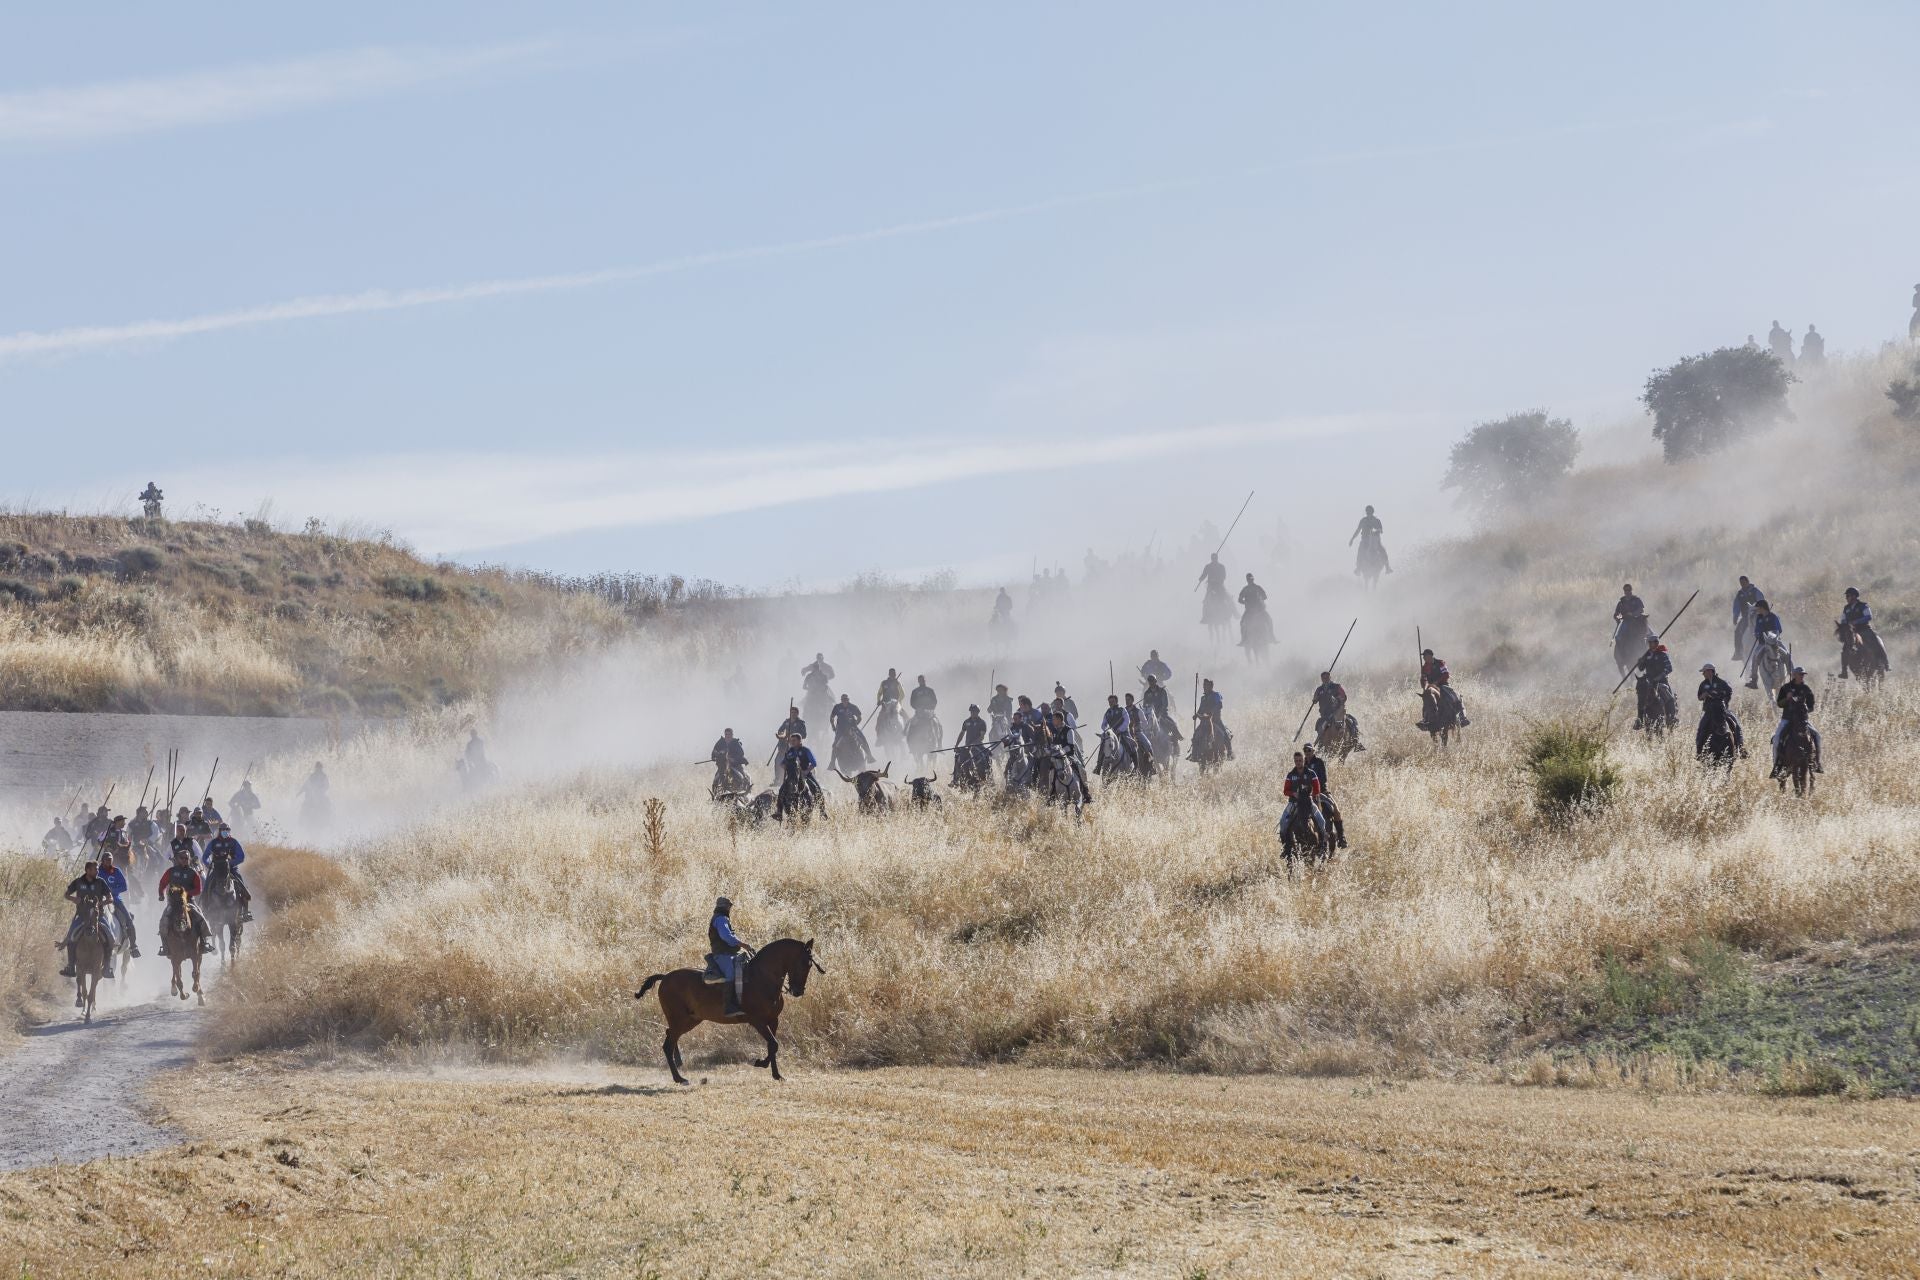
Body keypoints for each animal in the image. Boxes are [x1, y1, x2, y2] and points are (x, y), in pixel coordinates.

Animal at [637, 936, 825, 1090]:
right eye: (804, 963)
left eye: (810, 965)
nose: (797, 991)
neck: (762, 978)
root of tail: (665, 977)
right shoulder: (757, 1021)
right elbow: (773, 1044)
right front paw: (761, 1064)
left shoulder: (773, 1020)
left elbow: (772, 1045)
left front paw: (775, 1073)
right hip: (680, 1019)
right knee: (667, 1044)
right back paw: (679, 1078)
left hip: (690, 1020)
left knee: (670, 1035)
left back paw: (679, 1063)